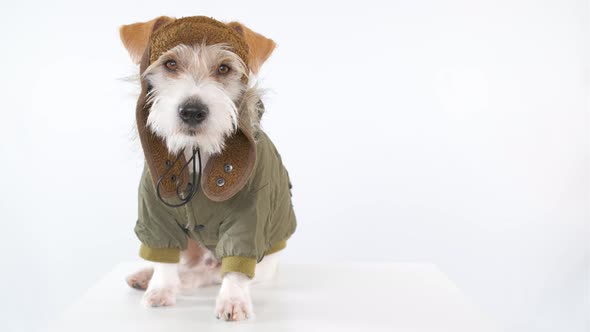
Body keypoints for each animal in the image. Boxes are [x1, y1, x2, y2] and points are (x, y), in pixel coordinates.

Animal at [119, 16, 298, 322]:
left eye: (224, 68)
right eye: (170, 64)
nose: (192, 111)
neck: (197, 151)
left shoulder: (249, 218)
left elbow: (235, 268)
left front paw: (233, 300)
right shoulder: (155, 209)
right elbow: (163, 257)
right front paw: (159, 288)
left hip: (263, 263)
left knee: (208, 272)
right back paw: (148, 275)